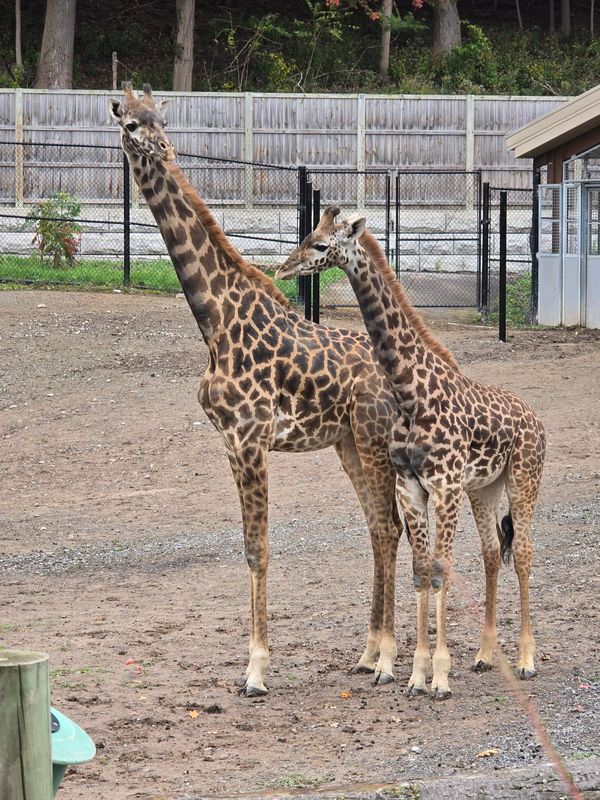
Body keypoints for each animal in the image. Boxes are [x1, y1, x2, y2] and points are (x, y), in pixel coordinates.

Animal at [109, 84, 406, 695]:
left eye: (161, 121)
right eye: (129, 123)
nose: (162, 150)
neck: (214, 320)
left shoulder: (250, 438)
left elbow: (259, 550)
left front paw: (256, 670)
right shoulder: (230, 441)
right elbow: (249, 548)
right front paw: (254, 663)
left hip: (372, 438)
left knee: (389, 526)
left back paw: (388, 660)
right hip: (347, 443)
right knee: (377, 527)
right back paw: (367, 654)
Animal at [277, 206, 546, 699]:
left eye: (321, 245)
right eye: (307, 235)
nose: (283, 269)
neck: (409, 394)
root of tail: (537, 421)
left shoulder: (445, 487)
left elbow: (441, 569)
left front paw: (439, 675)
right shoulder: (412, 488)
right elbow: (422, 571)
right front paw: (417, 674)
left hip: (523, 480)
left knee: (523, 552)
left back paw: (525, 660)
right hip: (485, 488)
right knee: (492, 551)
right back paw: (484, 655)